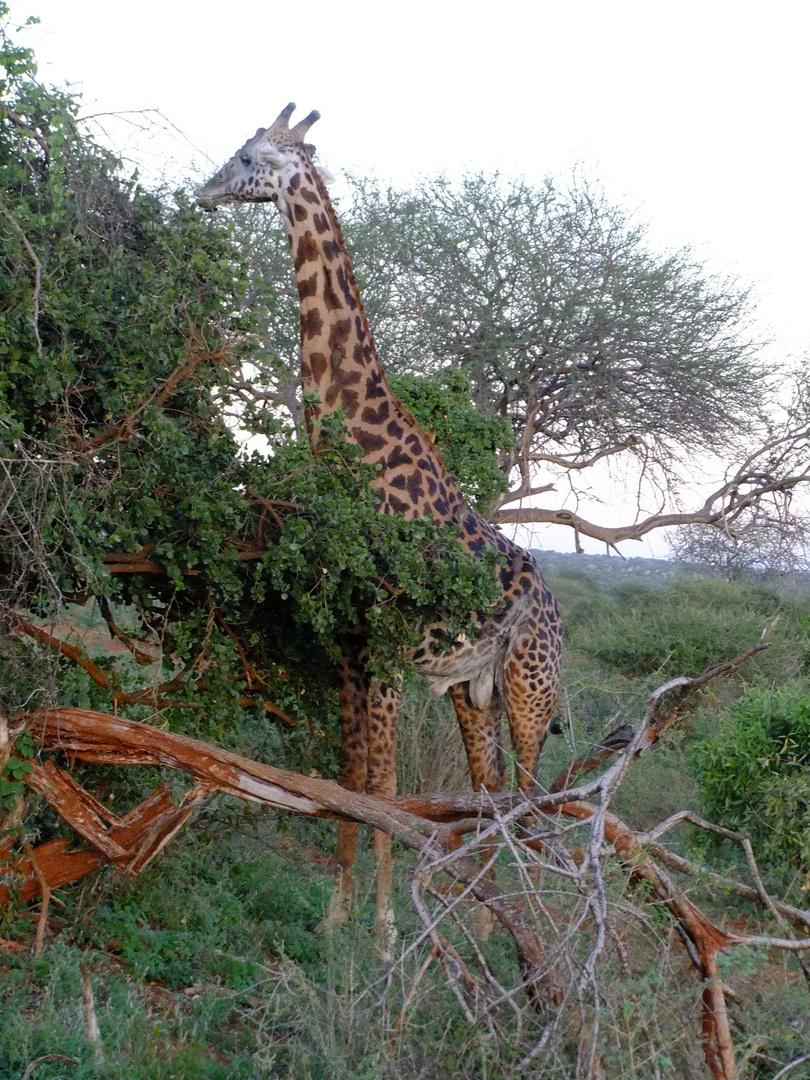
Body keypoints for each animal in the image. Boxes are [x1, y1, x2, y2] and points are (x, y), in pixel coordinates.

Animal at [196, 105, 565, 950]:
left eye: (248, 157)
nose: (201, 191)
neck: (355, 439)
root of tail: (557, 609)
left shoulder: (391, 645)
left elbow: (388, 783)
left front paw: (389, 926)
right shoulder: (349, 642)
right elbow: (347, 773)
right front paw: (338, 915)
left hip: (532, 686)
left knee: (532, 796)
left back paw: (535, 926)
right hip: (474, 690)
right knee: (490, 787)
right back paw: (486, 920)